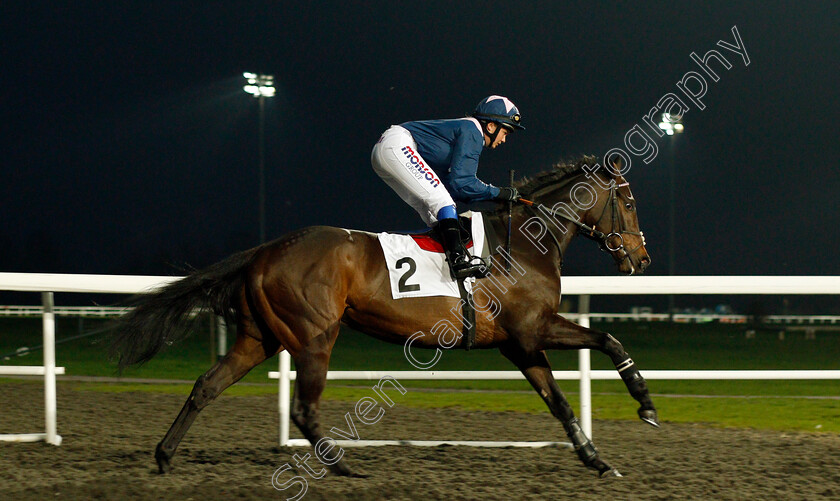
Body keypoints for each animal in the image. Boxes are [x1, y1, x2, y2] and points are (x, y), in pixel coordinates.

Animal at [111, 155, 660, 476]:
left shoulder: (518, 345)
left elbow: (560, 403)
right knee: (303, 409)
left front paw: (597, 461)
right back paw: (342, 468)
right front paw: (645, 404)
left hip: (259, 337)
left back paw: (164, 457)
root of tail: (265, 250)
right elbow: (610, 341)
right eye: (630, 201)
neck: (524, 245)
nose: (642, 259)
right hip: (314, 337)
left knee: (207, 385)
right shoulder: (532, 331)